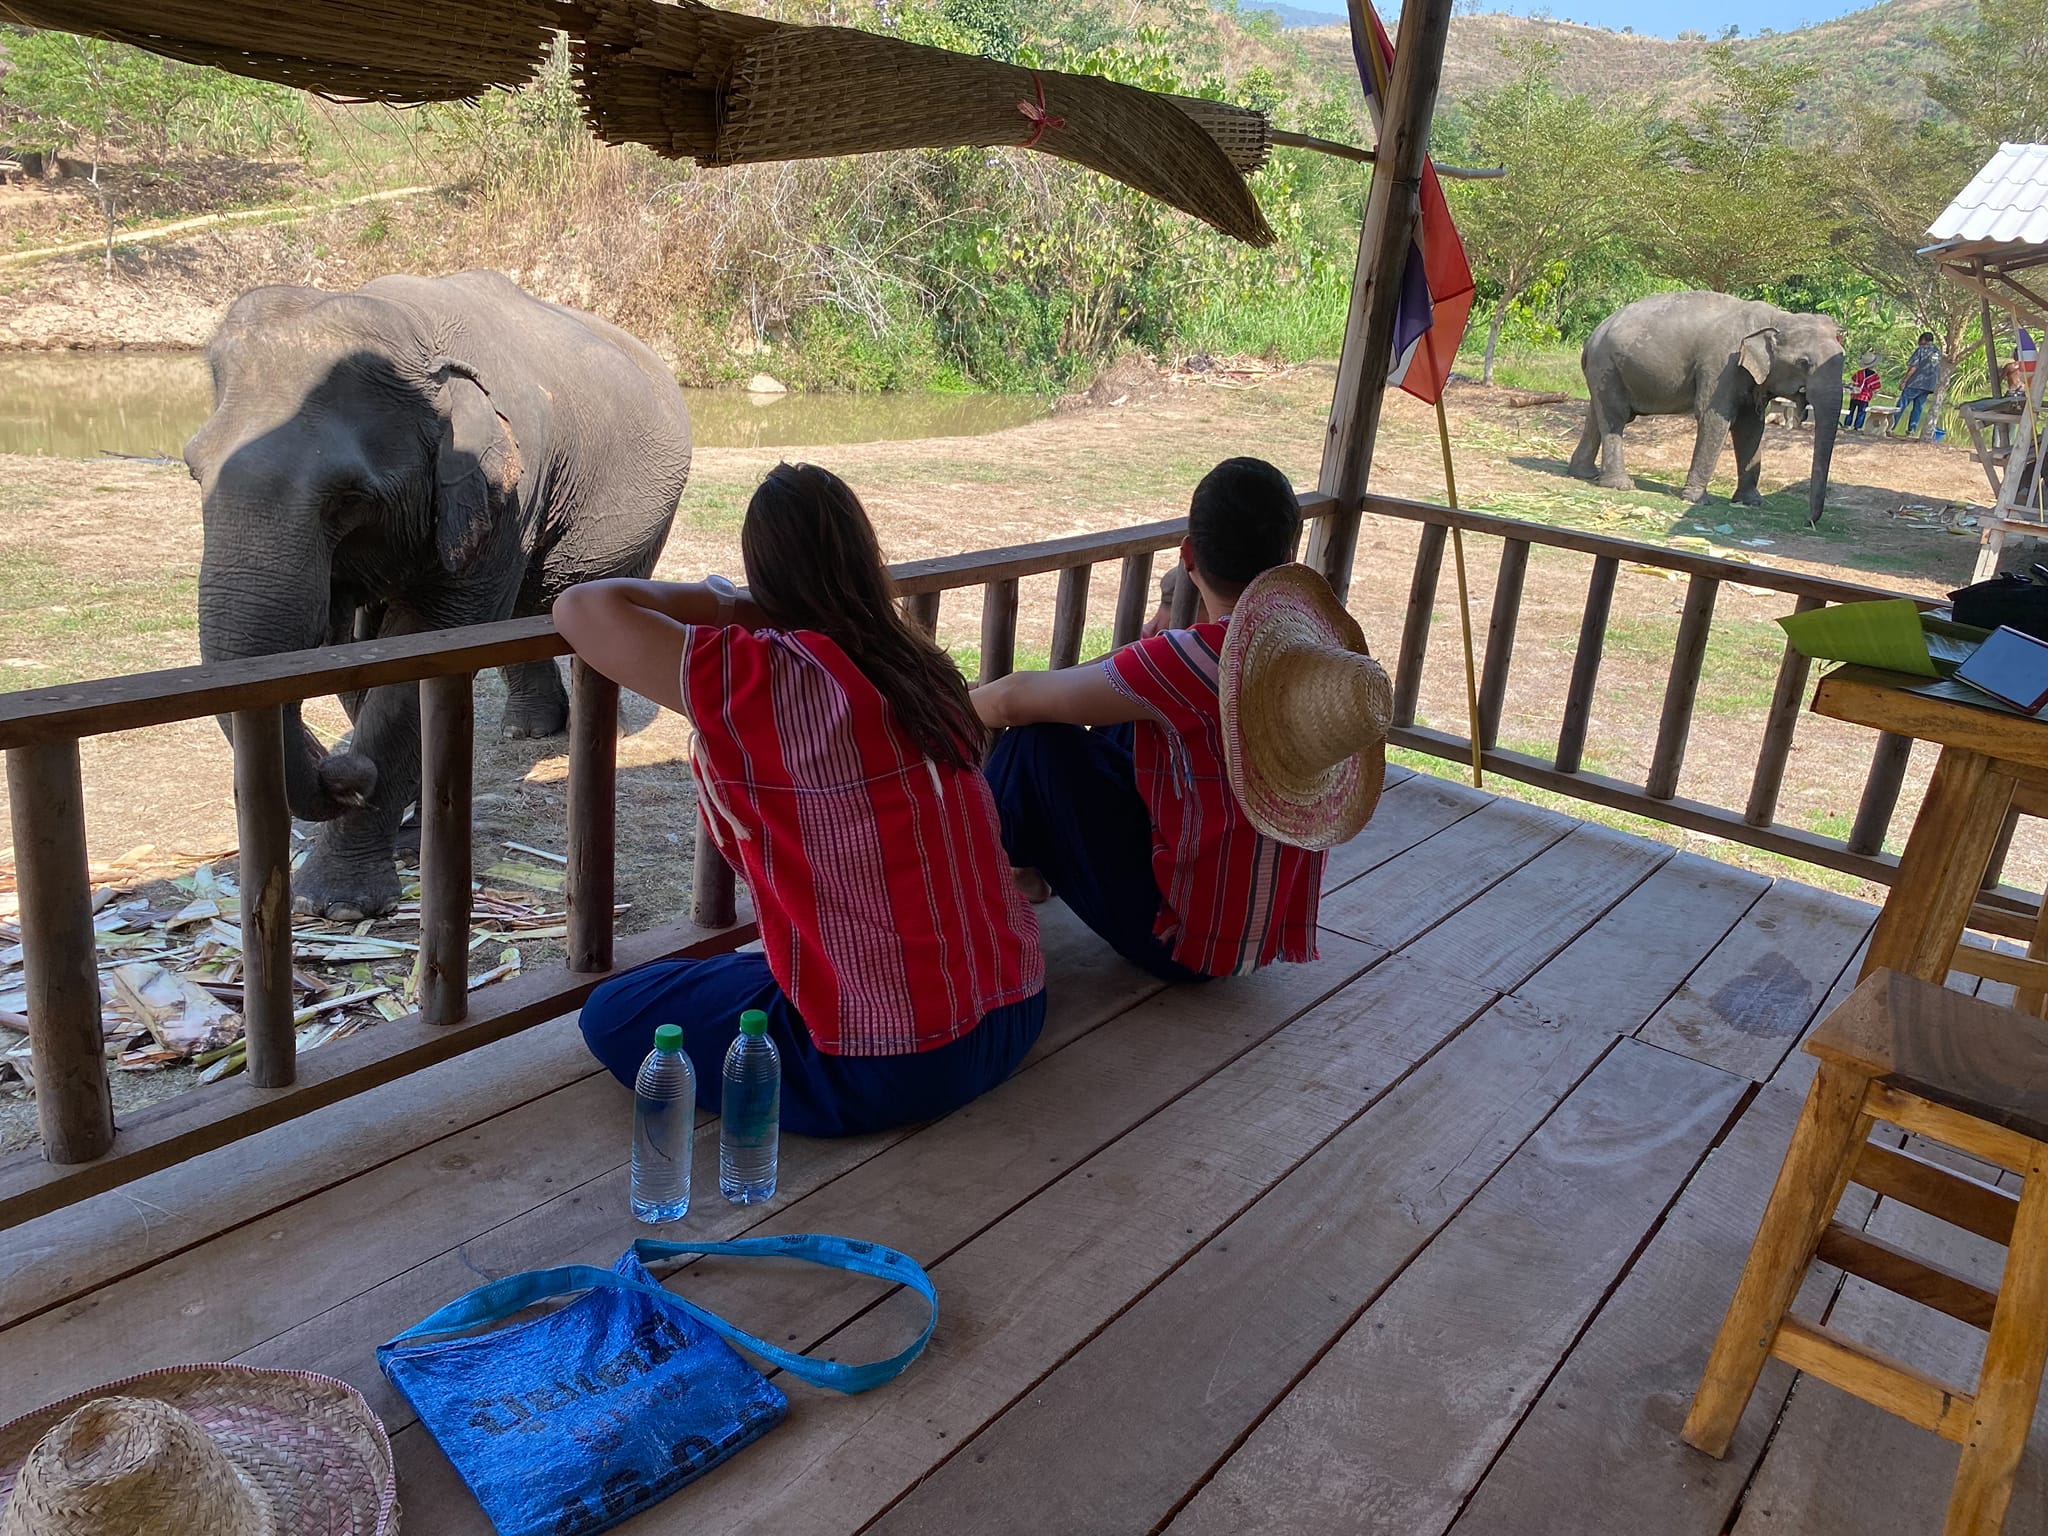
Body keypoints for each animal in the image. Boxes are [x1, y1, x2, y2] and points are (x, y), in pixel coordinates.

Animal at [188, 270, 696, 921]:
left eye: (349, 498)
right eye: (193, 468)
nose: (344, 771)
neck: (417, 333)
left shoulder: (504, 493)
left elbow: (420, 657)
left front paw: (337, 906)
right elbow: (370, 654)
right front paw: (411, 830)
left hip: (652, 511)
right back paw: (527, 733)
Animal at [1564, 292, 1859, 528]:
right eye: (1804, 363)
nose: (1808, 522)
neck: (1777, 317)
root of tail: (1592, 336)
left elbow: (1751, 427)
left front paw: (1751, 502)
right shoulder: (1720, 366)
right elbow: (1714, 417)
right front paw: (1696, 499)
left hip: (1606, 370)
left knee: (1597, 415)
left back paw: (1583, 474)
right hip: (1607, 364)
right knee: (1615, 417)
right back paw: (1620, 485)